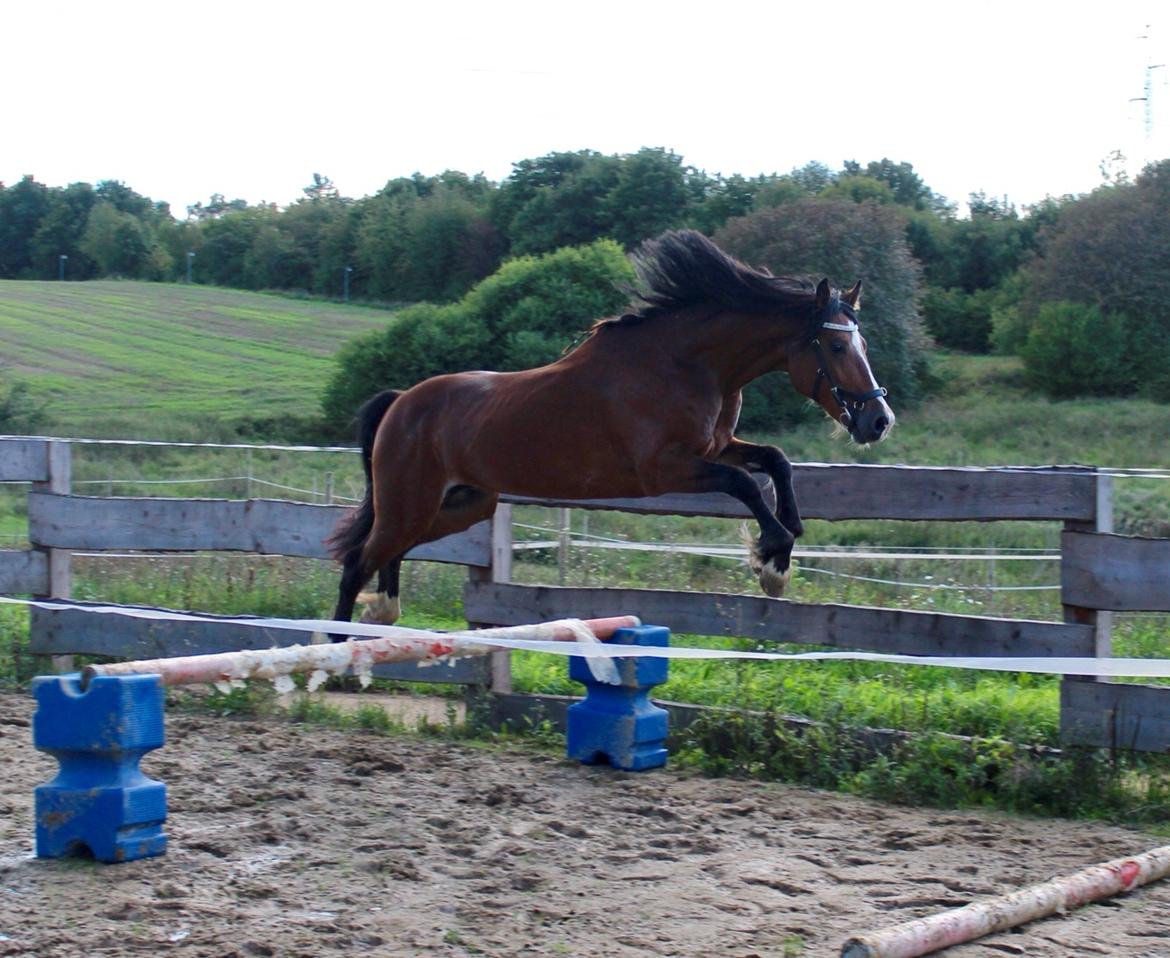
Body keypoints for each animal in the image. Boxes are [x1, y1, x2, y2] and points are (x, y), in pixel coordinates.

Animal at [329, 228, 893, 631]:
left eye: (863, 344)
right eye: (837, 346)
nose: (879, 421)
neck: (687, 364)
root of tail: (402, 403)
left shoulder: (717, 447)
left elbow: (775, 459)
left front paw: (785, 541)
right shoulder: (663, 470)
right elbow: (744, 484)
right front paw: (772, 560)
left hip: (462, 504)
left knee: (387, 555)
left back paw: (378, 621)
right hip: (411, 503)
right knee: (358, 561)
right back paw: (335, 654)